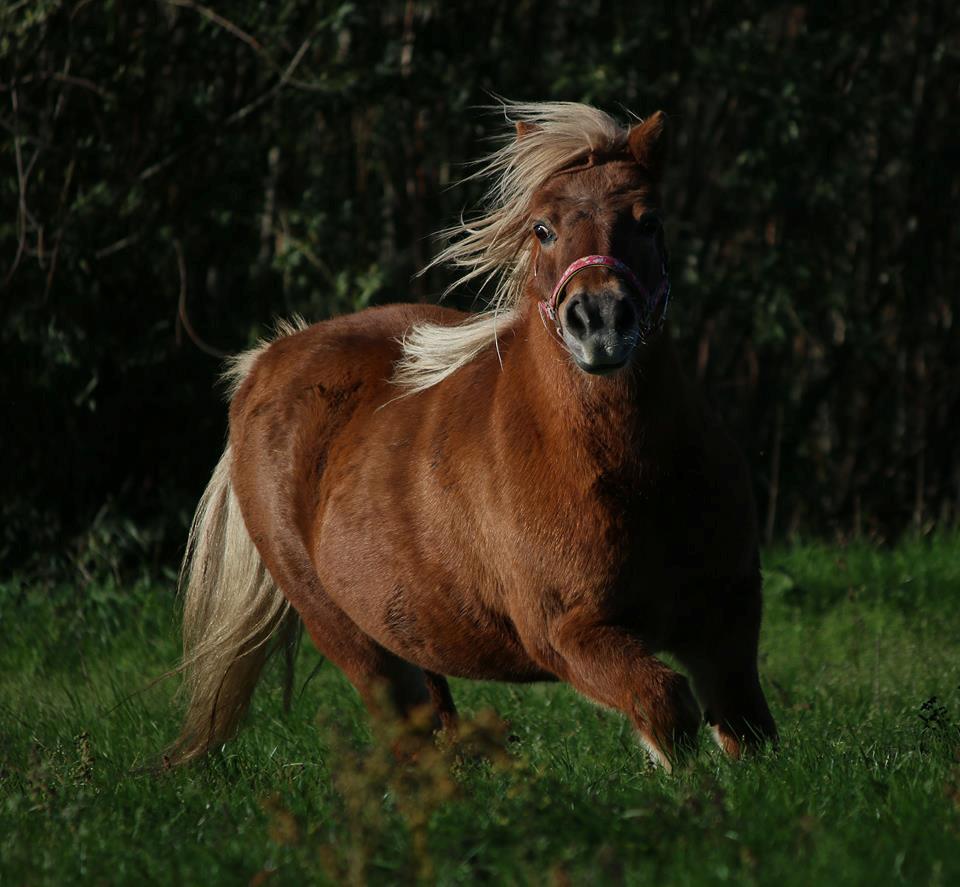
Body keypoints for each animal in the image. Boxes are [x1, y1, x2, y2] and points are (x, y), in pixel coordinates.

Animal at [169, 102, 776, 772]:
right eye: (541, 228)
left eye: (650, 222)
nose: (600, 322)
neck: (629, 473)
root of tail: (265, 362)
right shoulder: (568, 635)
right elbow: (666, 705)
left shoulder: (727, 616)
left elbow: (747, 729)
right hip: (347, 633)